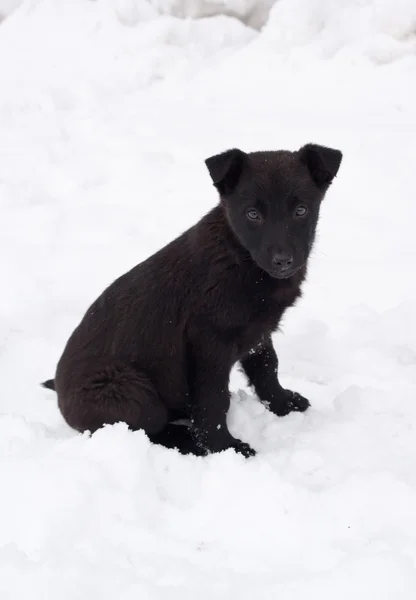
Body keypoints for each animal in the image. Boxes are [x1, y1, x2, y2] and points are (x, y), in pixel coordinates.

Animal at [42, 144, 342, 454]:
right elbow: (215, 399)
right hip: (130, 390)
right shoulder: (209, 344)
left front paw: (282, 403)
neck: (241, 260)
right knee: (147, 428)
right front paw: (224, 446)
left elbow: (267, 367)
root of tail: (60, 394)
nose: (283, 261)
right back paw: (189, 442)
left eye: (301, 210)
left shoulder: (259, 331)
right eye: (252, 214)